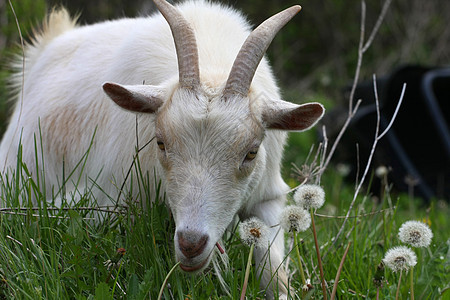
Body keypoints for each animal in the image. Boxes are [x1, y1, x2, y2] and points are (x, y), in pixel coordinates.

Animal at [0, 0, 324, 296]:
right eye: (161, 143)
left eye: (251, 152)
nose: (191, 244)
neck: (212, 66)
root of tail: (52, 39)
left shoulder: (268, 195)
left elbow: (273, 268)